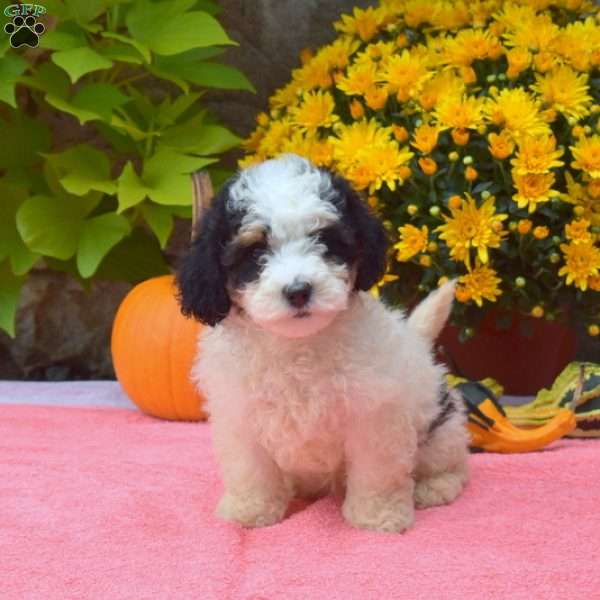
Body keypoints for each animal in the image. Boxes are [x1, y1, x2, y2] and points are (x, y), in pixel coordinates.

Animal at [176, 155, 472, 536]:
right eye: (255, 251)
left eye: (325, 242)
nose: (299, 291)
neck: (298, 345)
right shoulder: (240, 414)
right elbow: (251, 468)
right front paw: (250, 511)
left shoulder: (374, 415)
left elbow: (376, 472)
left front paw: (378, 517)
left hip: (440, 429)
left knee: (452, 465)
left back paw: (433, 487)